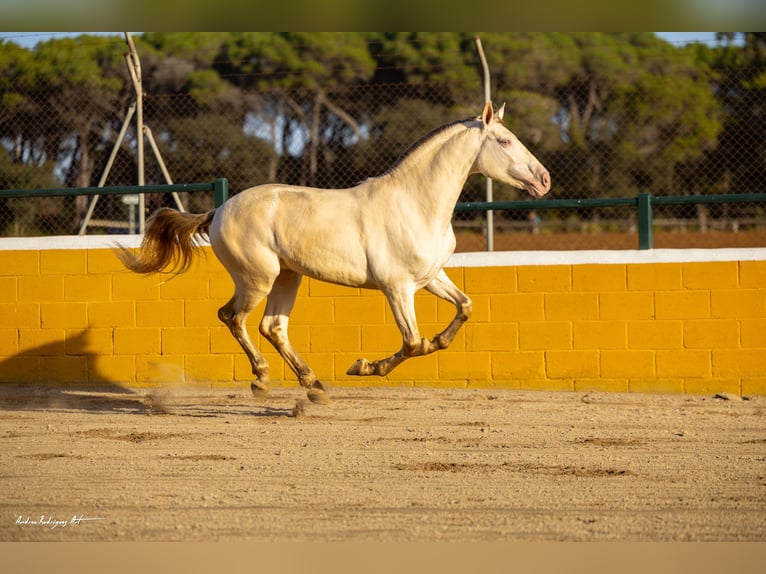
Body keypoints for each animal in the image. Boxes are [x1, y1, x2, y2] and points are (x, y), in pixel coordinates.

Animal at [118, 100, 552, 404]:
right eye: (504, 141)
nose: (544, 179)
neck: (414, 204)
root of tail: (219, 210)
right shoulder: (397, 288)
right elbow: (412, 342)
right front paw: (364, 367)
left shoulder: (429, 278)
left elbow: (463, 309)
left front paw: (431, 343)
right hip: (257, 279)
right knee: (234, 317)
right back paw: (262, 380)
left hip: (288, 277)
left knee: (272, 327)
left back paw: (314, 385)